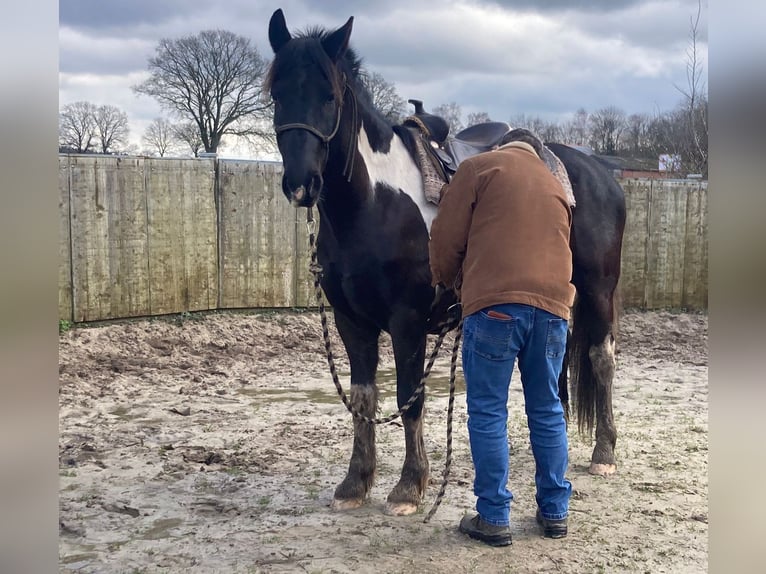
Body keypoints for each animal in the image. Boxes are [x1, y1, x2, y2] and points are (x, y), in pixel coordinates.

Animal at [268, 7, 628, 516]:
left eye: (329, 96)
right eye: (277, 95)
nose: (302, 184)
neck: (372, 201)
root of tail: (600, 172)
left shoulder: (407, 321)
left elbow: (409, 397)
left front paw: (409, 486)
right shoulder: (350, 321)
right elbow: (363, 399)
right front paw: (355, 483)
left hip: (598, 290)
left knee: (601, 358)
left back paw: (604, 452)